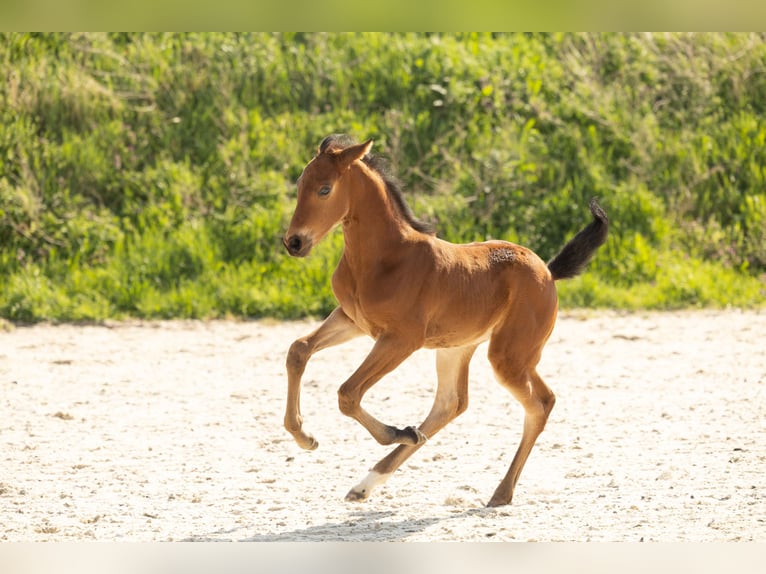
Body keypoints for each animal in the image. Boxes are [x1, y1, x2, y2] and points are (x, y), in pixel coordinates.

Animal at [282, 134, 608, 506]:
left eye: (325, 189)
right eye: (300, 184)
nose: (294, 242)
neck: (385, 257)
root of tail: (549, 273)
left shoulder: (401, 339)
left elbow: (348, 392)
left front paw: (398, 432)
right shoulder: (352, 320)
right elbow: (298, 350)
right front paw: (304, 436)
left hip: (509, 355)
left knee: (541, 403)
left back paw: (500, 491)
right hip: (459, 349)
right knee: (452, 404)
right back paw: (369, 481)